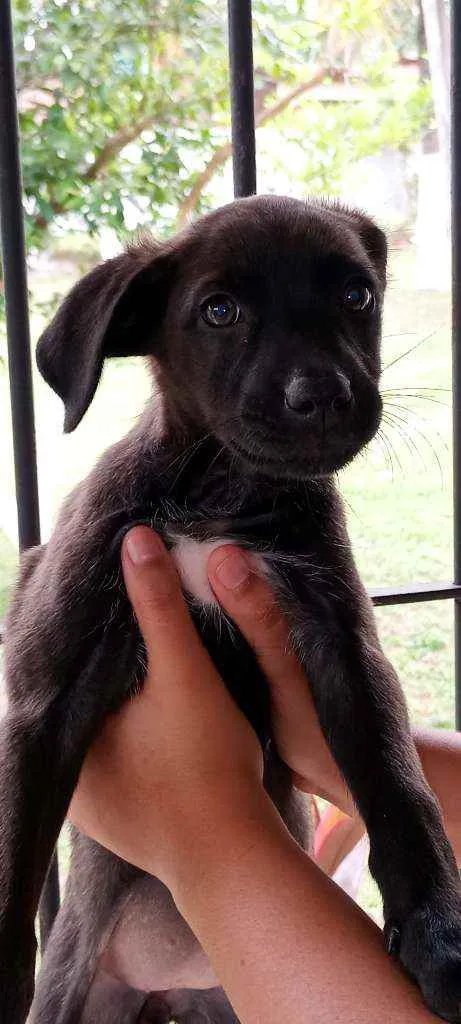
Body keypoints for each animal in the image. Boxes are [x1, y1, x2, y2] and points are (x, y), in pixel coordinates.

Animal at [2, 193, 461, 1024]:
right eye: (219, 311)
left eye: (357, 296)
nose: (322, 397)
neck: (220, 496)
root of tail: (169, 985)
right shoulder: (43, 693)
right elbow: (14, 856)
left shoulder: (343, 645)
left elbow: (399, 784)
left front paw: (439, 937)